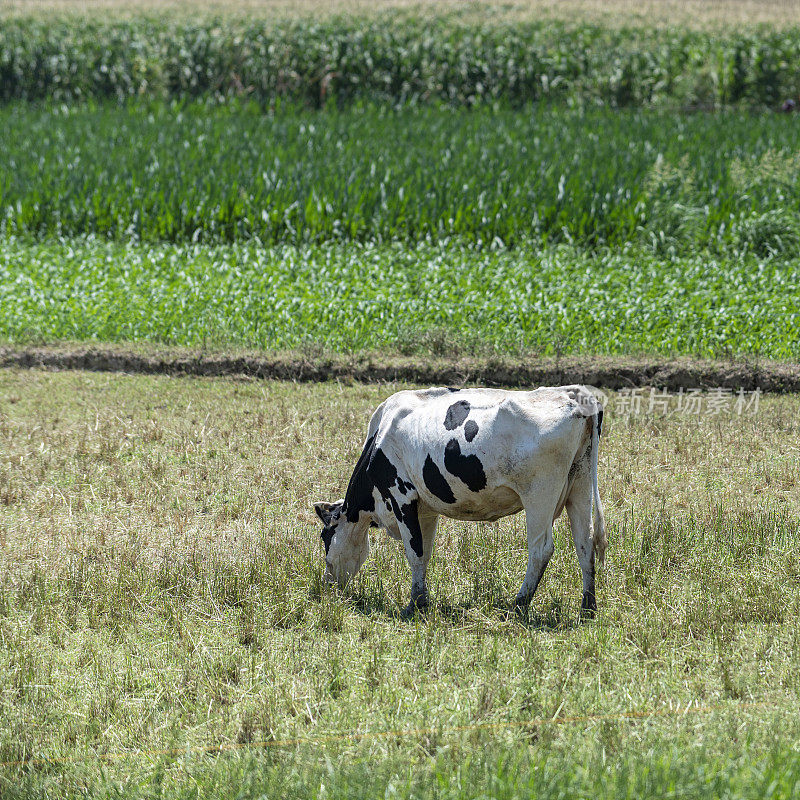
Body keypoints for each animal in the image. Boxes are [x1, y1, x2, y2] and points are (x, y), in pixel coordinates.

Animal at [314, 384, 608, 616]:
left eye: (325, 536)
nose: (327, 585)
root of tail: (572, 393)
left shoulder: (402, 497)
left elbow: (414, 552)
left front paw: (414, 605)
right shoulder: (425, 509)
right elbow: (425, 552)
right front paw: (422, 599)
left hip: (540, 495)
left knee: (541, 549)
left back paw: (518, 605)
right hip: (579, 485)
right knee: (584, 543)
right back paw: (588, 608)